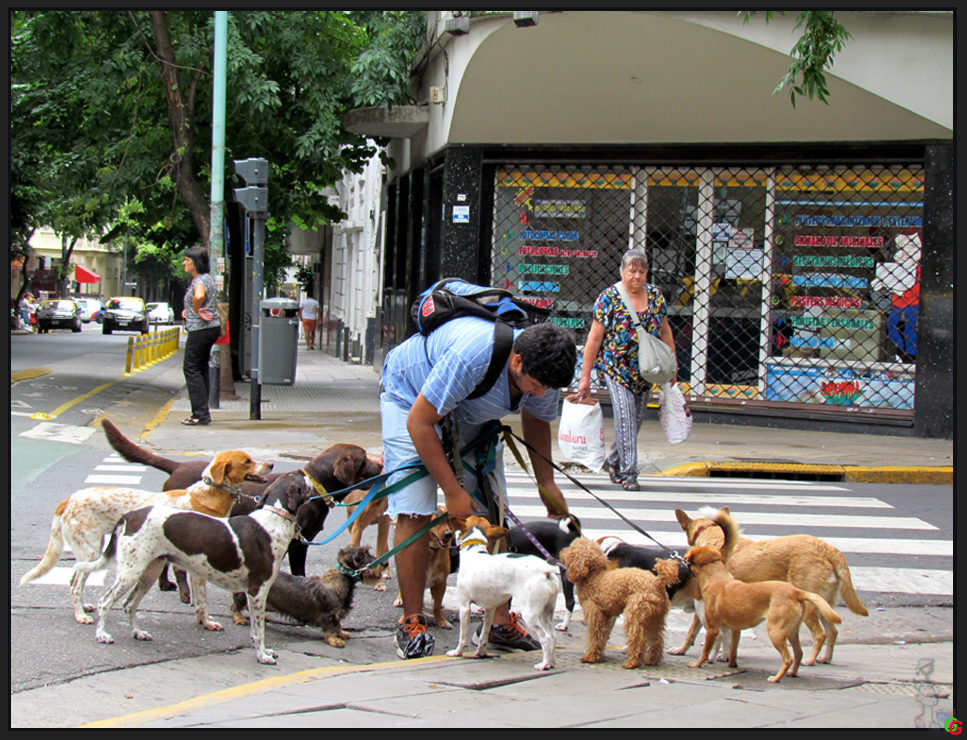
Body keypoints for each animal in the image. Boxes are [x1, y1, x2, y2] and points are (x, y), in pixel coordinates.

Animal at [20, 448, 270, 620]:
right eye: (247, 461)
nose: (271, 463)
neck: (209, 494)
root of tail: (69, 498)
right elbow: (202, 598)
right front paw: (207, 621)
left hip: (92, 551)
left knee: (74, 579)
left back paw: (84, 608)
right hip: (90, 550)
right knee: (75, 584)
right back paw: (80, 616)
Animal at [446, 516, 560, 672]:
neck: (474, 550)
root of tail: (546, 569)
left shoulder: (464, 607)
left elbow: (462, 636)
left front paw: (458, 652)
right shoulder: (489, 609)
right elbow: (484, 635)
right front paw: (482, 653)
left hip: (530, 615)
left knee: (546, 638)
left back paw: (544, 665)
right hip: (546, 613)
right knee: (553, 636)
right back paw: (552, 662)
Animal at [672, 502, 868, 664]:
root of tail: (828, 549)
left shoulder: (705, 605)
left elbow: (693, 631)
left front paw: (684, 650)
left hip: (811, 607)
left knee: (820, 634)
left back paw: (810, 660)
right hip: (825, 605)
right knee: (833, 632)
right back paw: (825, 658)